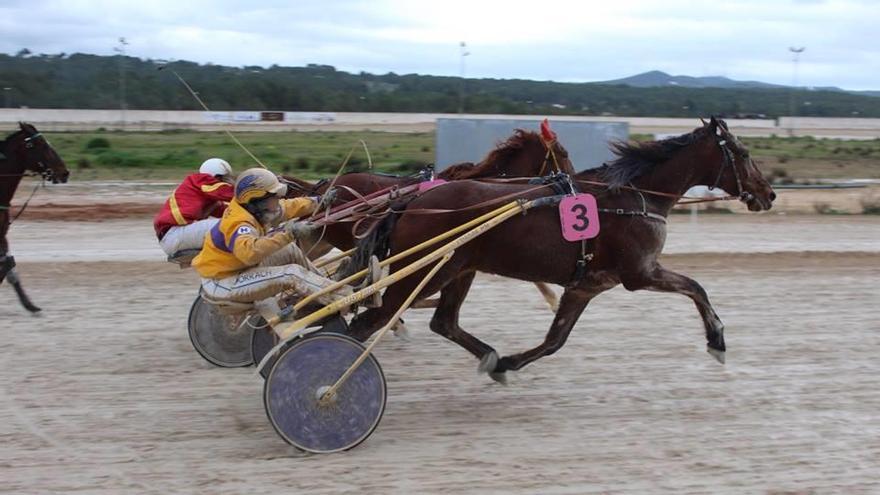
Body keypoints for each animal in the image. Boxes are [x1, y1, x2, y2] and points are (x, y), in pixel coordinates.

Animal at [350, 117, 776, 384]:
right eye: (742, 153)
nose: (769, 194)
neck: (634, 196)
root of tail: (410, 201)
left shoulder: (586, 285)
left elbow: (556, 340)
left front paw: (506, 365)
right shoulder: (640, 273)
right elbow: (695, 287)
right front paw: (717, 340)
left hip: (458, 270)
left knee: (444, 322)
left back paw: (489, 355)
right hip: (426, 273)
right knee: (368, 322)